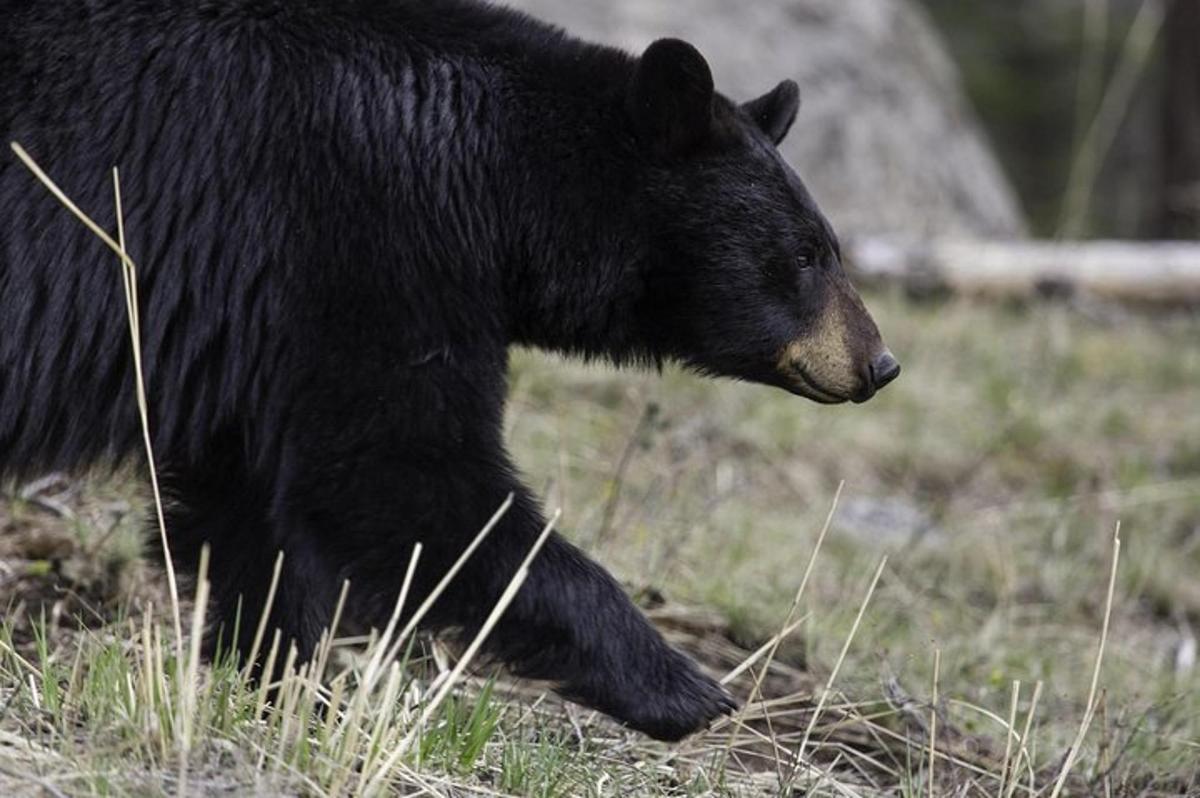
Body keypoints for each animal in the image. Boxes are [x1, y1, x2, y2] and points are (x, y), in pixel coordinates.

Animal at [0, 0, 902, 739]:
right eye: (805, 254)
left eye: (827, 246)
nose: (879, 362)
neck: (495, 176)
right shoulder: (358, 239)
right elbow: (404, 475)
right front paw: (683, 687)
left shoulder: (260, 327)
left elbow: (255, 509)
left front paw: (283, 685)